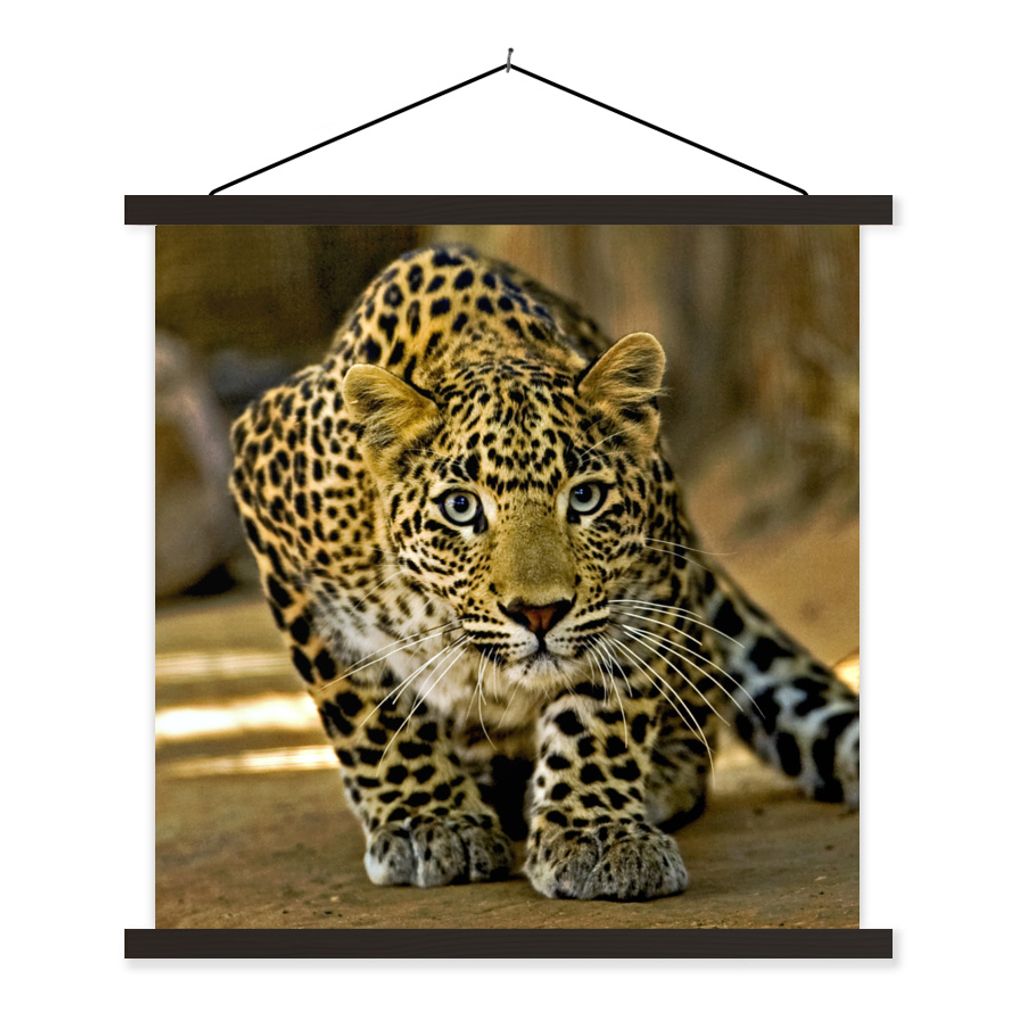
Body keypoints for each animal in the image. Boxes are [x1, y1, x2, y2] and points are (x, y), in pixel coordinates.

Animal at [229, 243, 859, 901]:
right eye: (461, 507)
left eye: (584, 498)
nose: (539, 613)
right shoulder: (273, 511)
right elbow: (370, 713)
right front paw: (429, 822)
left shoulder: (642, 590)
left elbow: (600, 717)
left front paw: (597, 835)